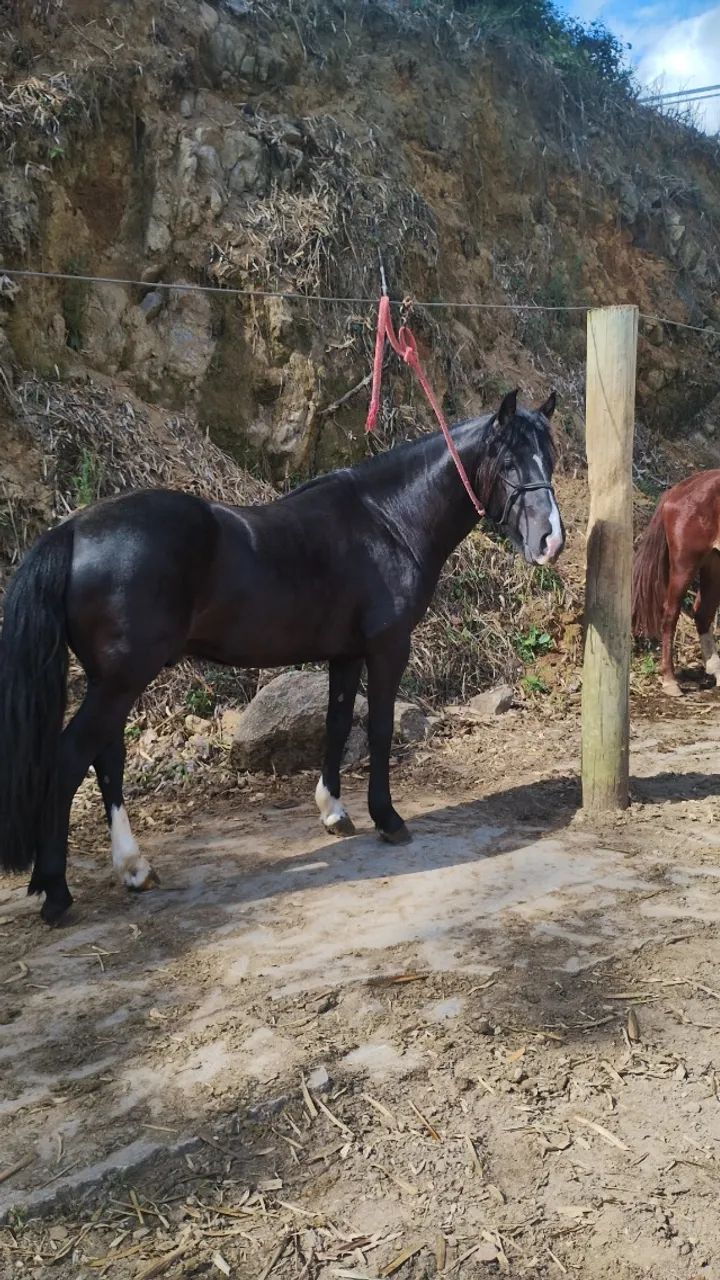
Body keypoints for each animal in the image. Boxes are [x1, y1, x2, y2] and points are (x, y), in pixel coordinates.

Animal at [0, 389, 564, 926]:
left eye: (551, 458)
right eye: (509, 462)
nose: (550, 541)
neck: (390, 519)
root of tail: (72, 531)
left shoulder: (345, 654)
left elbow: (338, 725)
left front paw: (334, 811)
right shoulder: (388, 647)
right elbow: (379, 730)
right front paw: (387, 819)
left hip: (113, 681)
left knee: (106, 760)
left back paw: (133, 868)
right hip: (121, 679)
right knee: (70, 758)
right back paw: (56, 891)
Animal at [632, 469, 720, 696]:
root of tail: (678, 490)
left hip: (713, 563)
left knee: (703, 613)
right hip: (685, 564)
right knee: (670, 614)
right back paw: (670, 680)